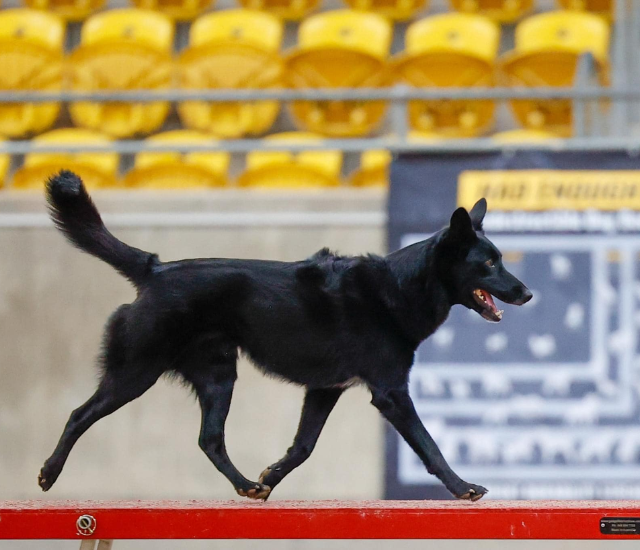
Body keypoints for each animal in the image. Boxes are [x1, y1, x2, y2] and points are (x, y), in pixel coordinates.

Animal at [38, 170, 528, 502]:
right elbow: (429, 445)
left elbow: (303, 447)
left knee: (209, 439)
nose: (527, 292)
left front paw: (271, 476)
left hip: (218, 377)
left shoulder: (325, 389)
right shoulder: (390, 393)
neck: (400, 287)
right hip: (136, 370)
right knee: (78, 415)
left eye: (501, 259)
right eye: (488, 263)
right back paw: (48, 472)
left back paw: (246, 485)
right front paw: (462, 486)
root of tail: (154, 268)